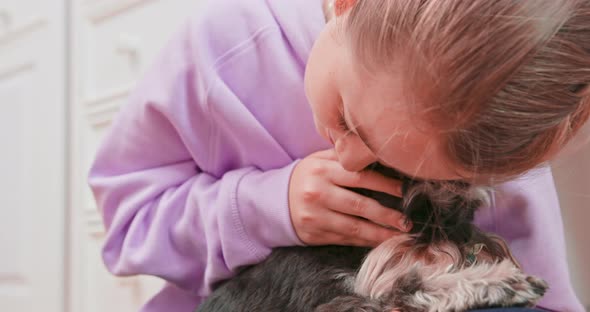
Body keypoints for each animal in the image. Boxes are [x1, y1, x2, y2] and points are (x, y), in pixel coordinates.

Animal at [197, 163, 548, 312]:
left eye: (471, 210)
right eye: (422, 213)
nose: (476, 248)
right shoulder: (338, 303)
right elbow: (411, 286)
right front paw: (504, 282)